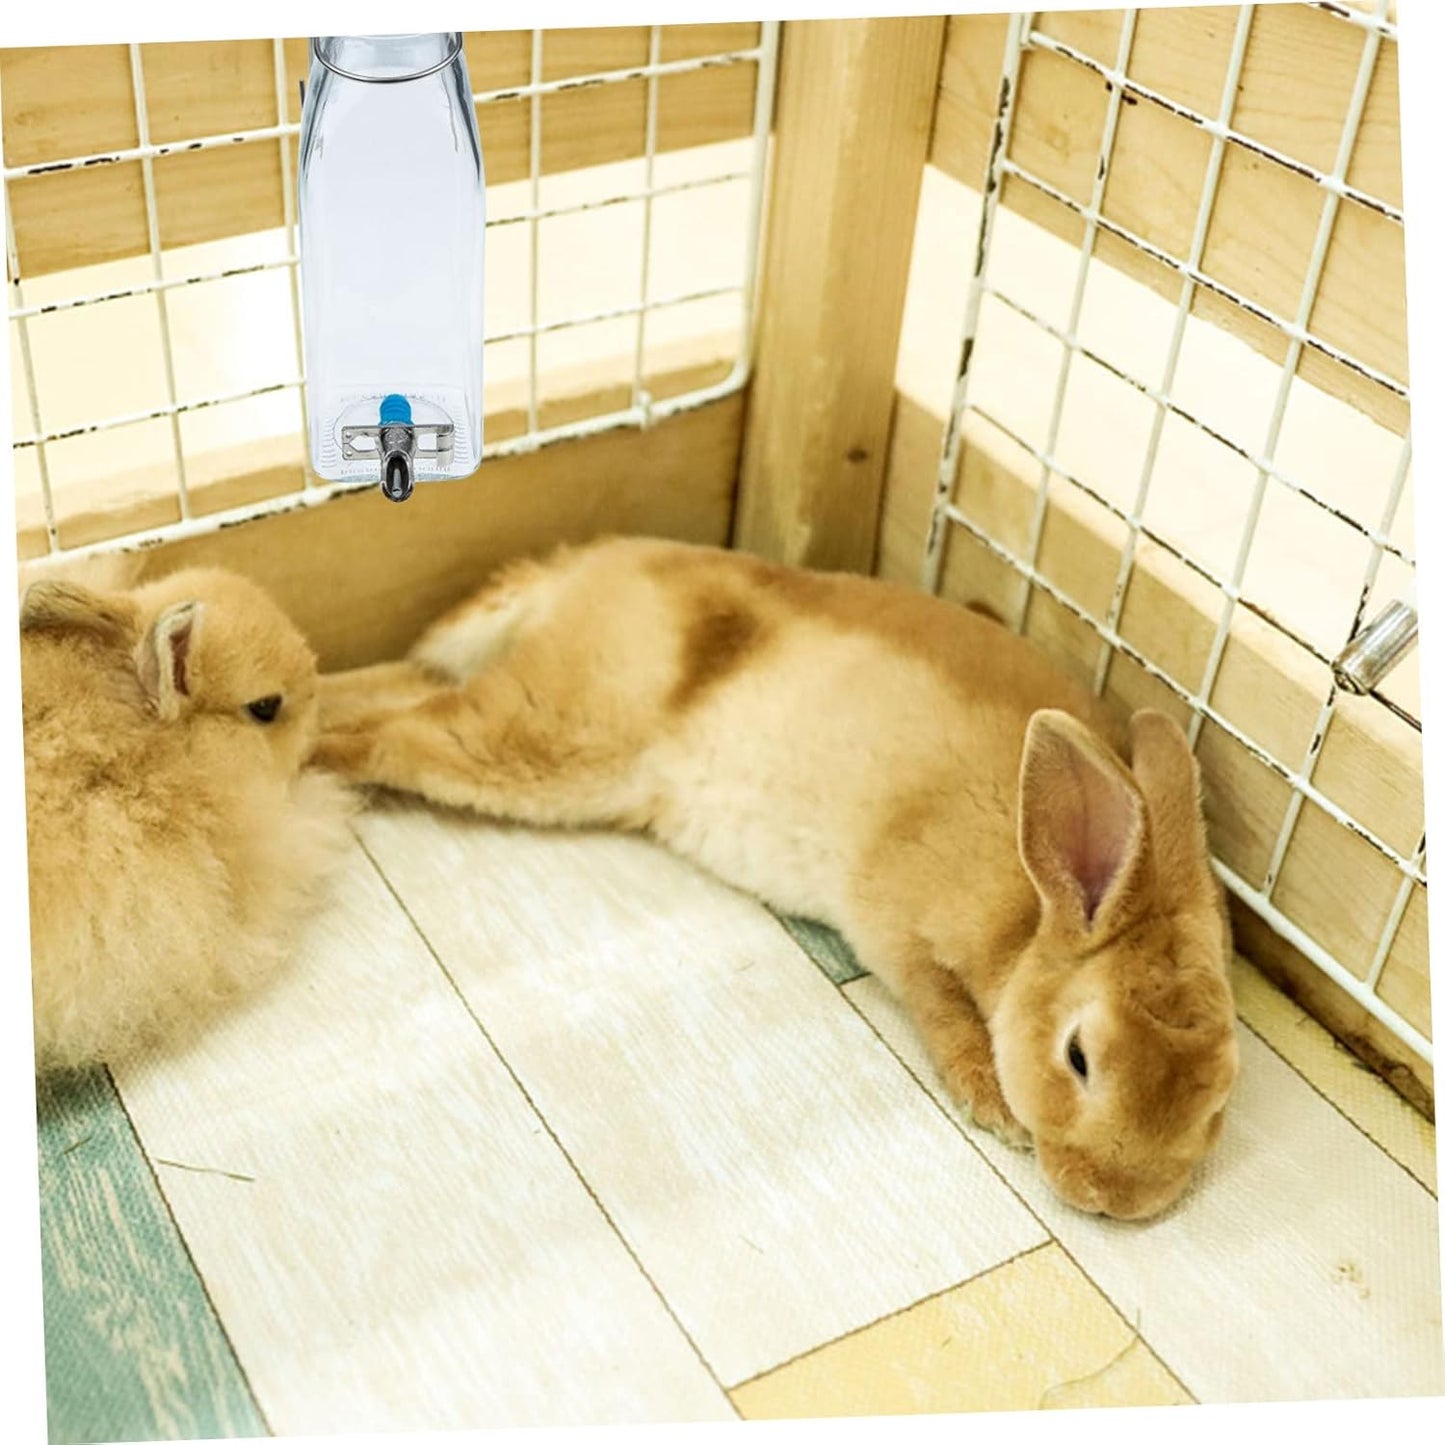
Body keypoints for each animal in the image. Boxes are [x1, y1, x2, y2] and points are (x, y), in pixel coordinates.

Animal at [313, 535, 1240, 1221]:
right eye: (1078, 1056)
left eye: (1219, 1092)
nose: (1116, 1200)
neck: (1034, 912)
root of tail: (577, 571)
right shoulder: (900, 935)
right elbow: (944, 1015)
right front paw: (994, 1105)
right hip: (549, 738)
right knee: (395, 731)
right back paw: (303, 755)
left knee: (397, 686)